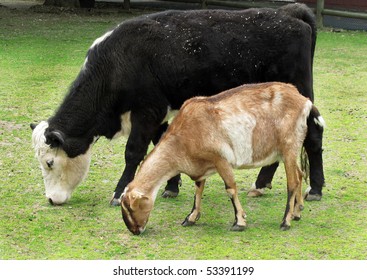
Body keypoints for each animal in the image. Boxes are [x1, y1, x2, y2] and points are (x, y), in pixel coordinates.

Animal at [31, 3, 324, 207]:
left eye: (49, 162)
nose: (51, 199)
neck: (116, 62)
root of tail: (289, 12)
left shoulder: (146, 111)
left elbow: (134, 152)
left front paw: (119, 191)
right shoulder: (158, 114)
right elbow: (162, 145)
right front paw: (171, 186)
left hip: (300, 95)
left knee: (314, 134)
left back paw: (316, 189)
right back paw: (262, 184)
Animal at [122, 82, 326, 235]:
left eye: (130, 208)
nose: (135, 230)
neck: (182, 138)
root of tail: (305, 101)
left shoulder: (221, 160)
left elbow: (230, 188)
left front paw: (239, 222)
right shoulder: (202, 166)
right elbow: (198, 190)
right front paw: (191, 218)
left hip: (289, 146)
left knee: (292, 182)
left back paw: (285, 221)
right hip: (289, 151)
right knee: (299, 175)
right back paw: (297, 213)